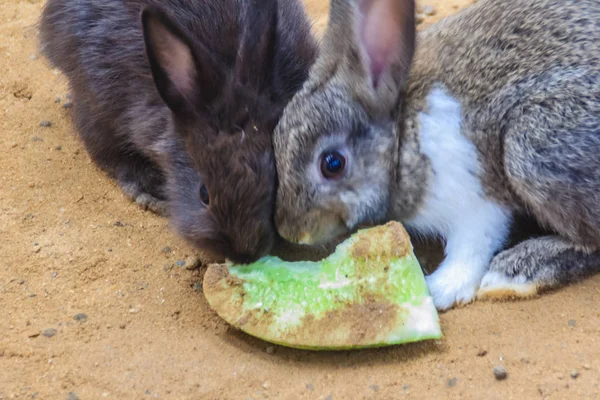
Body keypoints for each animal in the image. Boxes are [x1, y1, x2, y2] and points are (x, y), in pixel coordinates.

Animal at [272, 0, 600, 310]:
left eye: (332, 164)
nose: (291, 231)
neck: (402, 139)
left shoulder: (473, 200)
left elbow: (472, 246)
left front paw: (438, 290)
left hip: (530, 151)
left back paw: (513, 273)